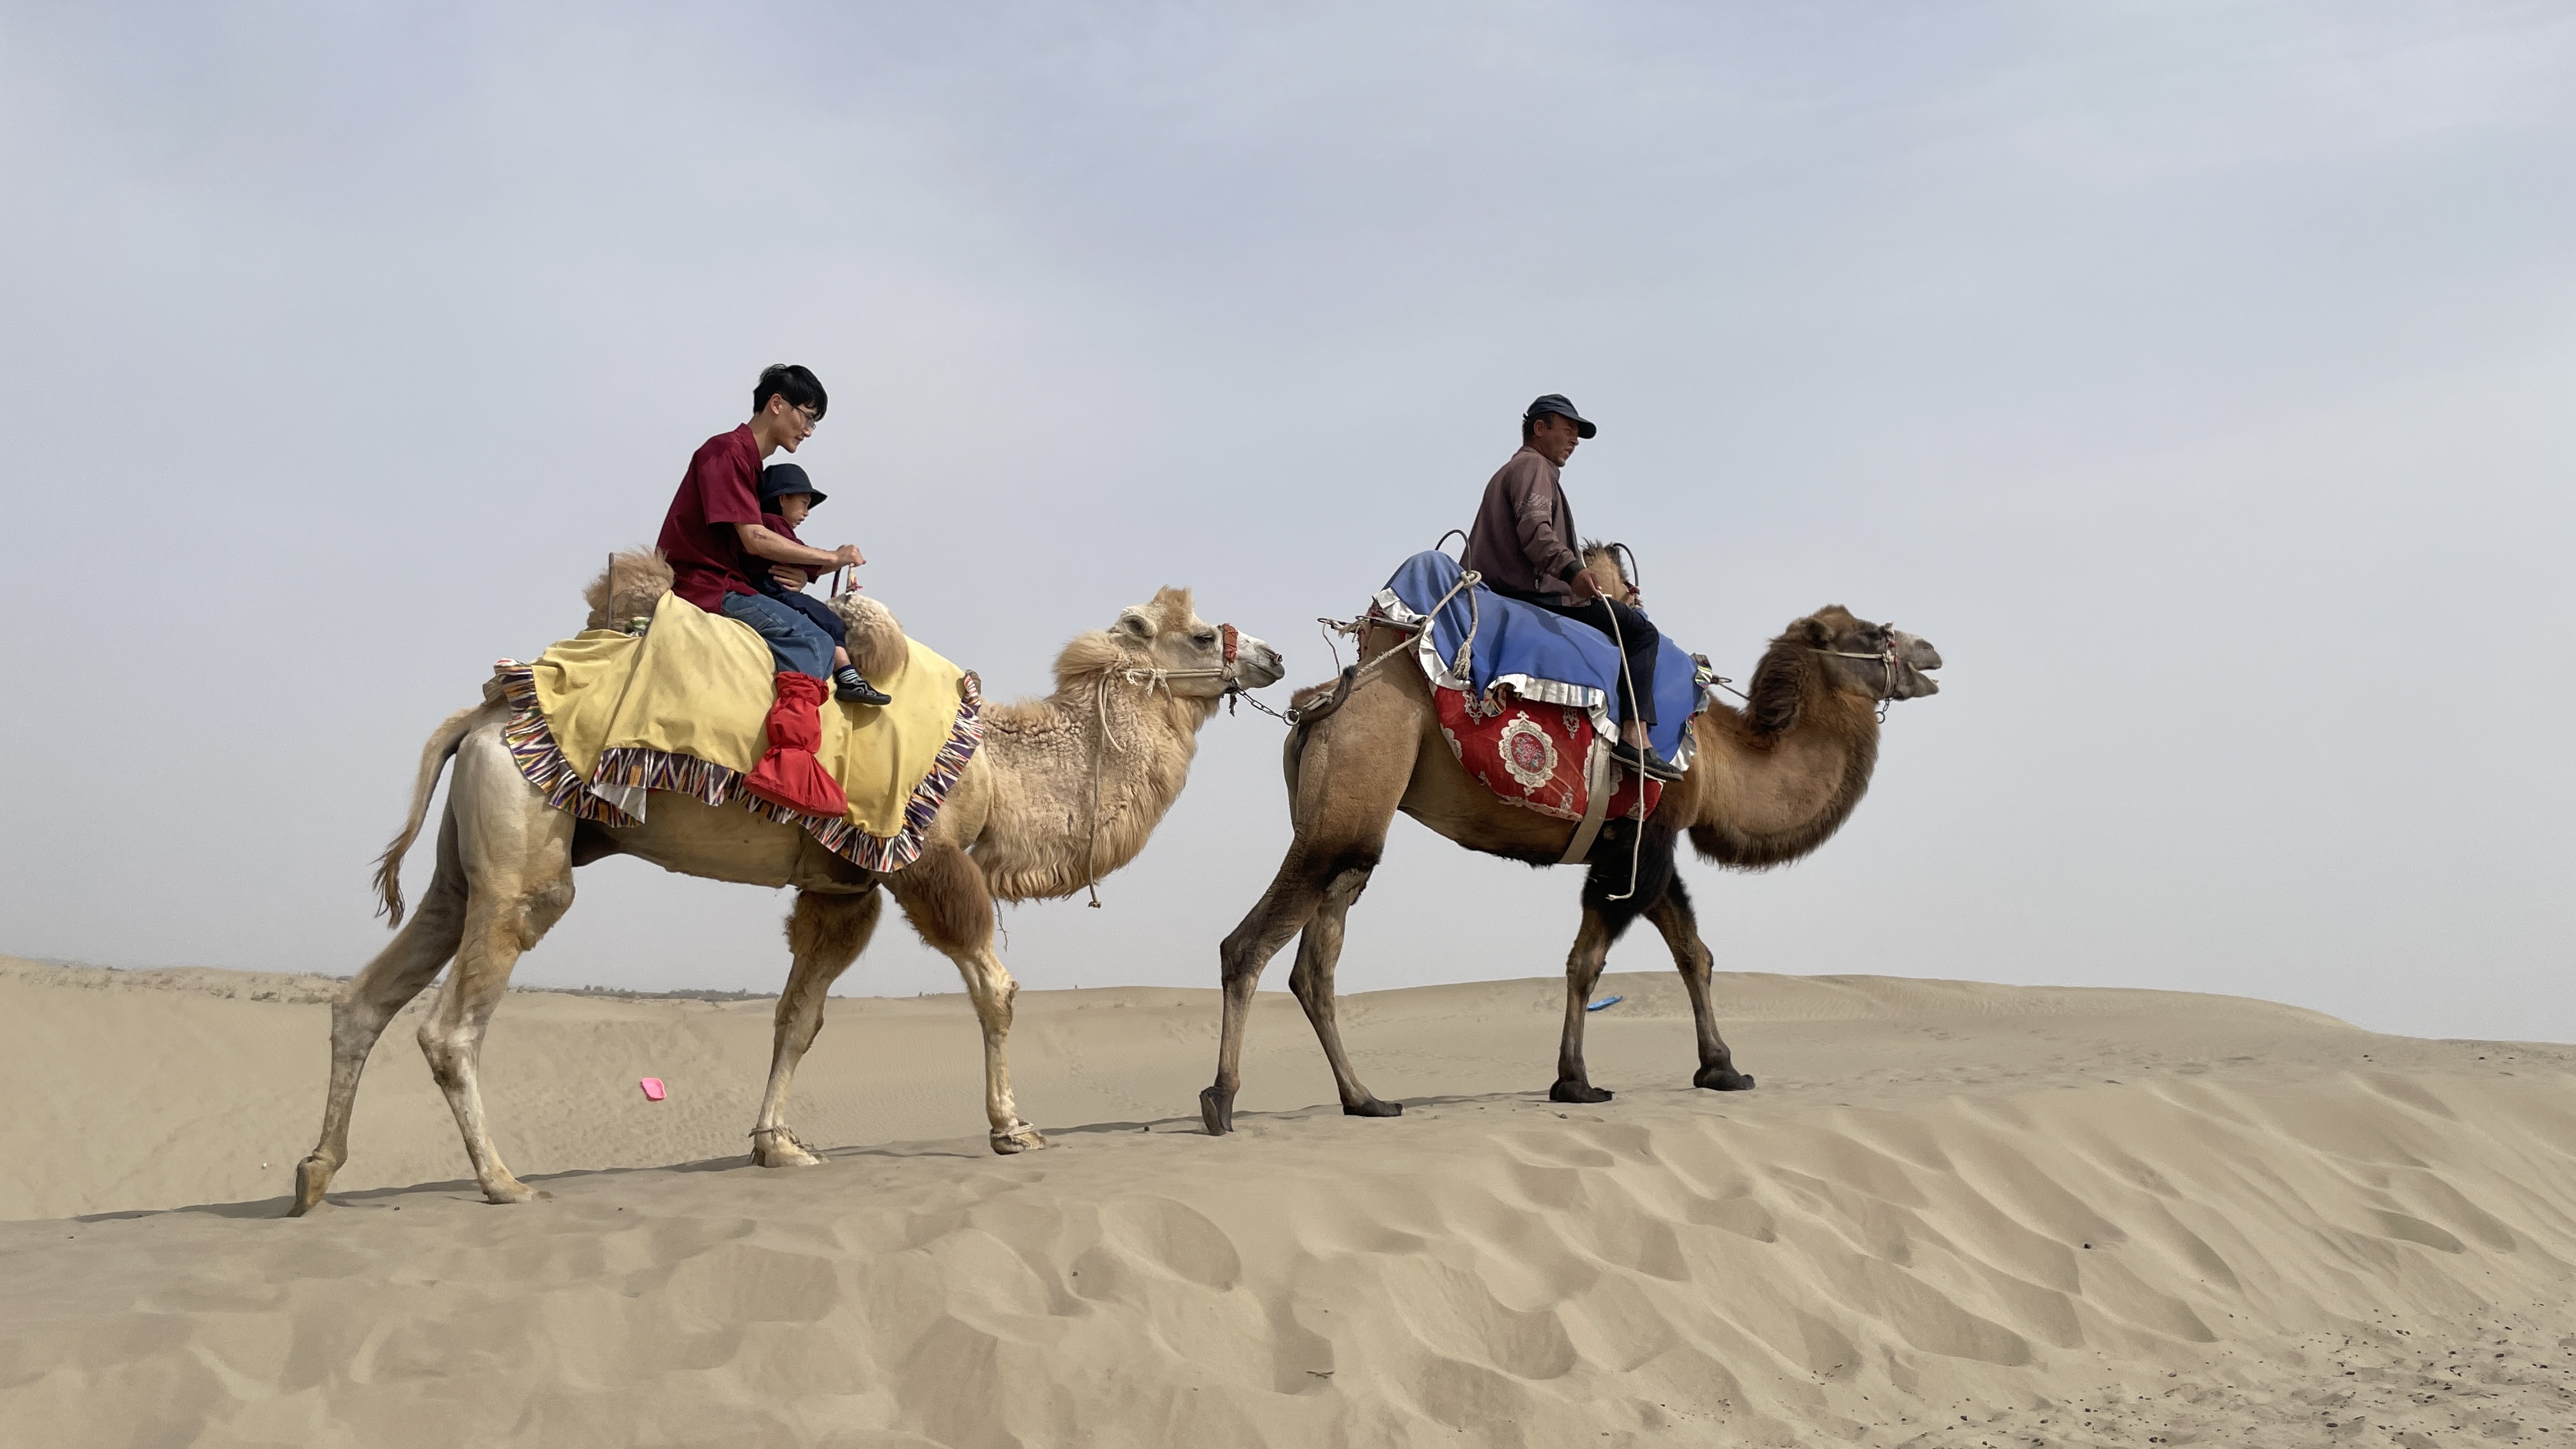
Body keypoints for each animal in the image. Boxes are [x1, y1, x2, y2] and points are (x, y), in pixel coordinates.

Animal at [291, 567, 1283, 1212]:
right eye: (1204, 635)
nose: (1270, 655)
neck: (999, 764)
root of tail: (483, 715)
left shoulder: (843, 884)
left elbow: (797, 1016)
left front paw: (778, 1146)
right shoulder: (925, 854)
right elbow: (996, 989)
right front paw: (1013, 1129)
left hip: (464, 862)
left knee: (367, 997)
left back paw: (314, 1175)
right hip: (525, 848)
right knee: (454, 1020)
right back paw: (501, 1182)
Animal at [1199, 554, 1939, 1133]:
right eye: (1872, 631)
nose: (1931, 652)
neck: (1721, 759)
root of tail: (1319, 703)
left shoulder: (1641, 844)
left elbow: (1692, 954)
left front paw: (1723, 1068)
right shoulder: (1644, 839)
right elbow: (1589, 961)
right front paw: (1575, 1081)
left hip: (1352, 828)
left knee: (1315, 963)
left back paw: (1365, 1100)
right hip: (1348, 801)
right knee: (1248, 946)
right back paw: (1221, 1101)